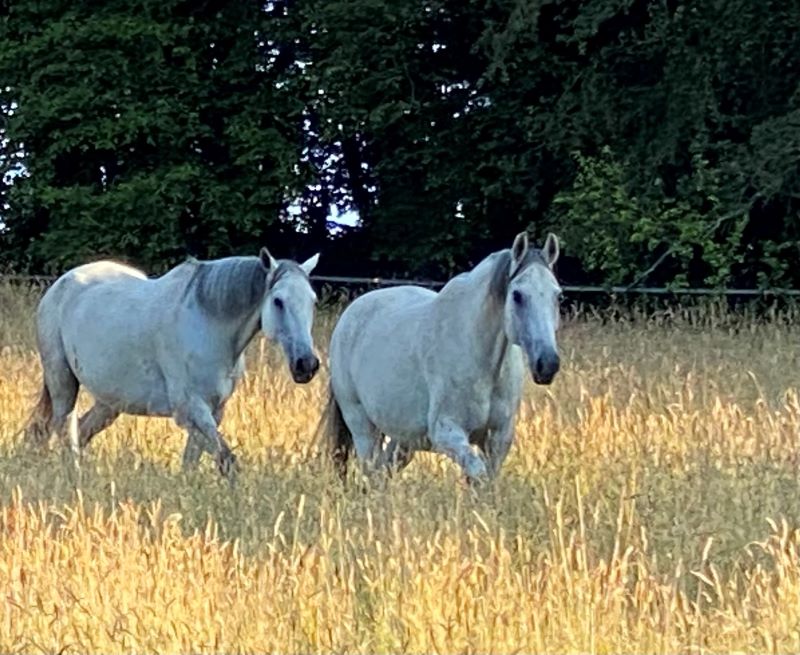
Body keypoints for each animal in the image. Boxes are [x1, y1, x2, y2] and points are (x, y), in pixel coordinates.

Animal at [26, 248, 320, 476]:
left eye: (313, 301)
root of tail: (60, 285)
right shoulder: (191, 408)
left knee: (80, 430)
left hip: (109, 402)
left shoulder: (215, 410)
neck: (209, 324)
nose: (307, 365)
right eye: (278, 301)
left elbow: (193, 462)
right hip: (63, 383)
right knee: (63, 430)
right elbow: (227, 460)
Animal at [320, 232, 561, 483]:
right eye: (517, 295)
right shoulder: (446, 432)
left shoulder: (498, 440)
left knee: (383, 470)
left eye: (558, 295)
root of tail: (349, 315)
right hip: (362, 427)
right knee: (372, 470)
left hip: (404, 439)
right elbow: (477, 473)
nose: (548, 364)